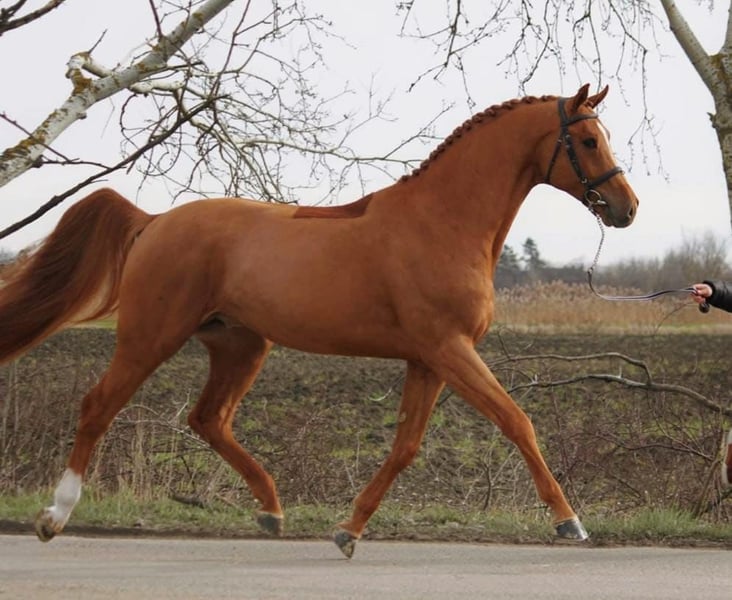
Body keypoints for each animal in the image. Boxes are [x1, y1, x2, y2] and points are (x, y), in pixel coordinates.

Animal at [0, 83, 637, 558]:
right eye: (587, 139)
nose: (627, 208)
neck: (442, 222)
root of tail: (154, 221)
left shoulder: (427, 359)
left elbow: (406, 446)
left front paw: (348, 531)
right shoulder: (450, 349)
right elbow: (516, 421)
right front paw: (570, 523)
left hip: (240, 345)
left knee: (208, 419)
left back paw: (271, 510)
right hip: (150, 336)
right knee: (98, 406)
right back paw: (55, 516)